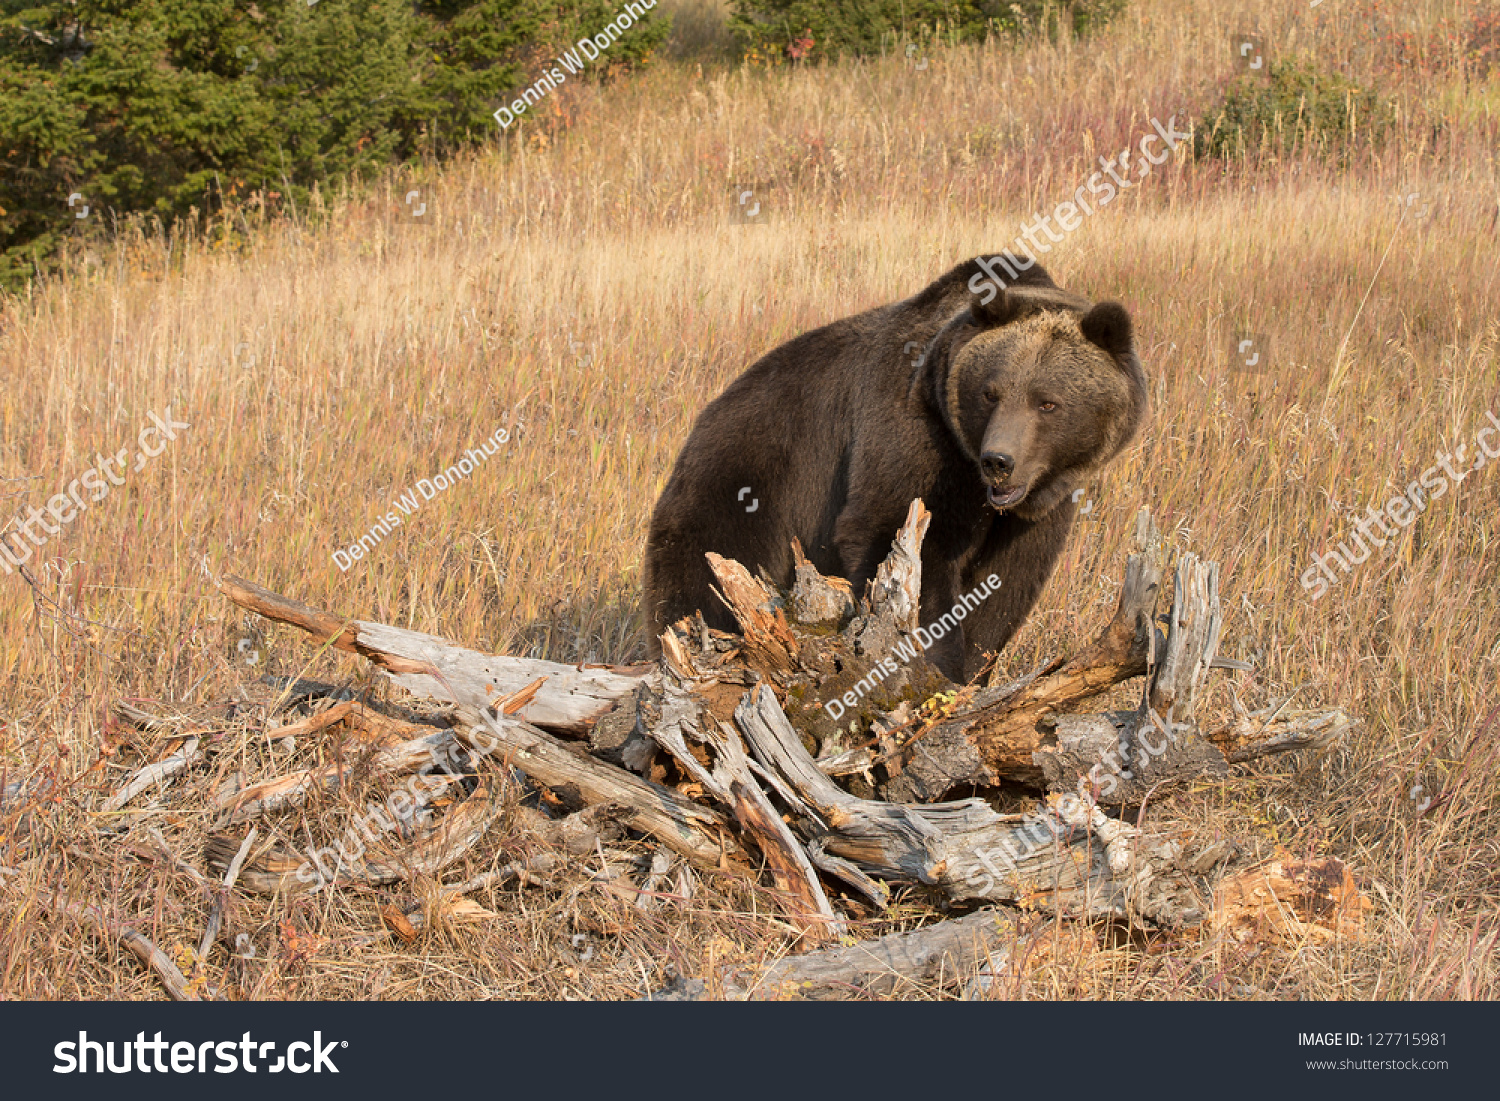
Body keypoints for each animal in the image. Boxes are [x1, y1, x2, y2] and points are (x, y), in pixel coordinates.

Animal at [642, 256, 1146, 681]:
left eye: (1048, 402)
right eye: (991, 392)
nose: (999, 461)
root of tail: (700, 424)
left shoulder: (1038, 509)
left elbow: (1007, 586)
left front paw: (972, 669)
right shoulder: (911, 433)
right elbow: (897, 539)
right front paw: (938, 664)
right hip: (740, 489)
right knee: (700, 585)